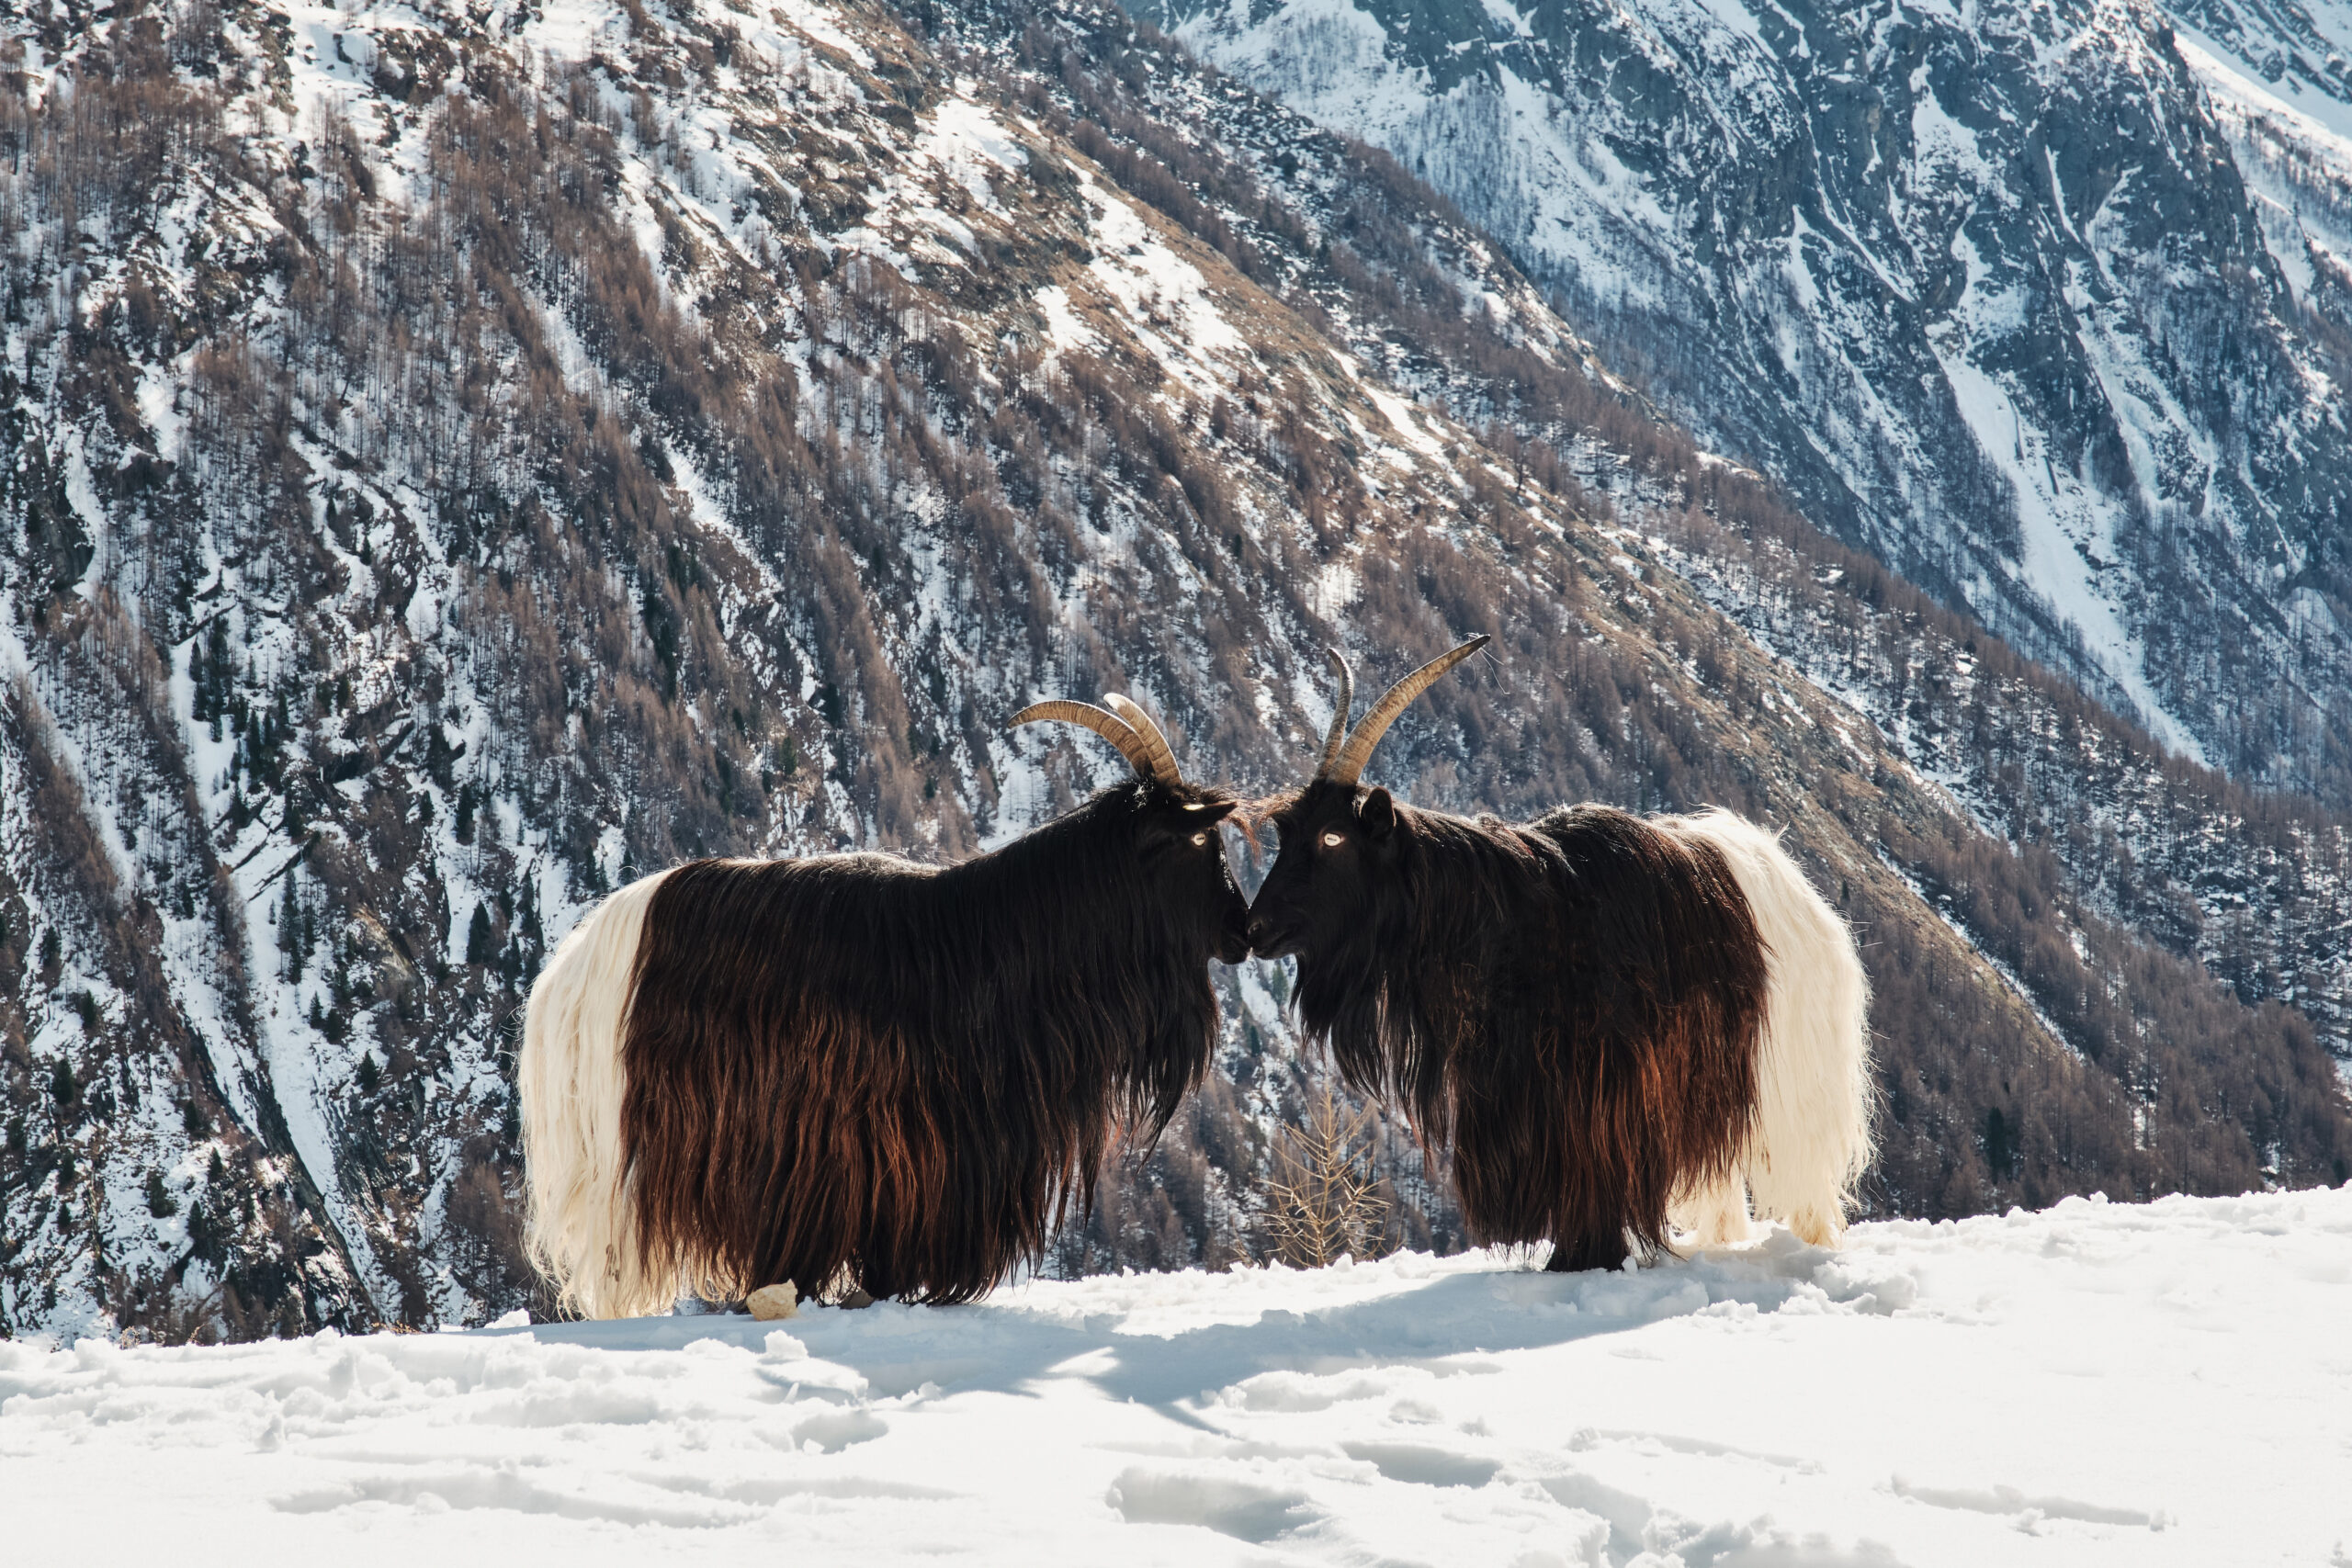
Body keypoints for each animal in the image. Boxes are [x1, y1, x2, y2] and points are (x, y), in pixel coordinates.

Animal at [1246, 640, 1872, 1270]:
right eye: (1285, 832)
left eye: (1333, 838)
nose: (1254, 928)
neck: (1507, 919)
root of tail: (1792, 880)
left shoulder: (1603, 1091)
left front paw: (1587, 1256)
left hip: (1790, 1070)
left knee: (1807, 1171)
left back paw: (1812, 1244)